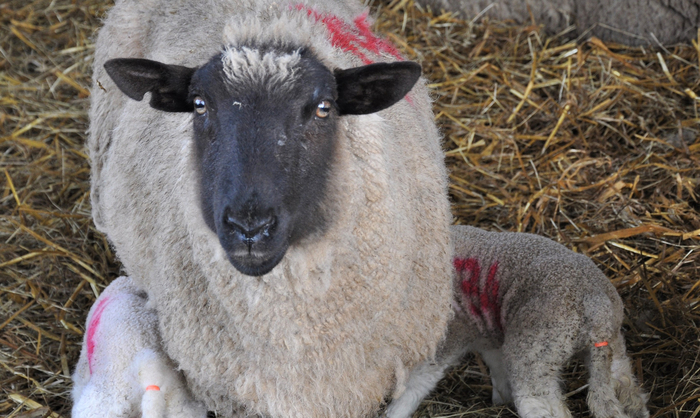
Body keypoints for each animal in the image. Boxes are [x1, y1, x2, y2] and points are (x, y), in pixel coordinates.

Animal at [385, 225, 649, 418]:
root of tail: (595, 303)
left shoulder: (451, 332)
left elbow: (418, 383)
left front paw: (394, 412)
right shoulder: (488, 332)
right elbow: (496, 367)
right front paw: (500, 401)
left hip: (536, 347)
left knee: (541, 405)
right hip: (610, 343)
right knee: (625, 384)